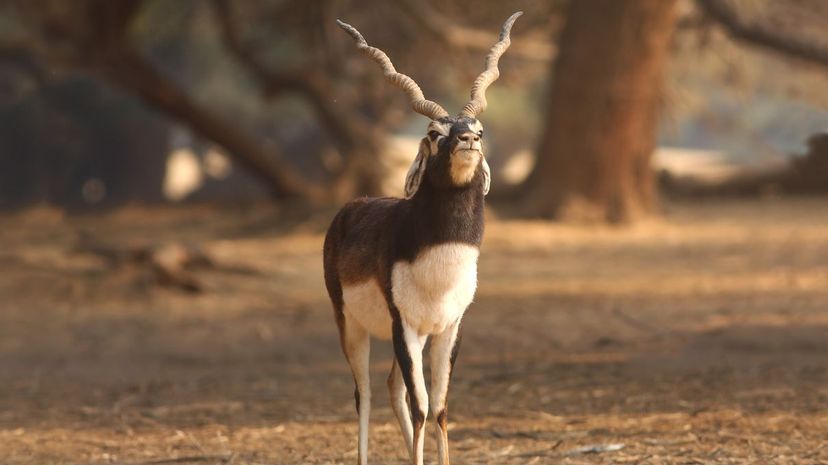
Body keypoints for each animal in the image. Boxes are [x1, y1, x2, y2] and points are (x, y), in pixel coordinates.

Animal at [322, 11, 520, 464]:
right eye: (433, 133)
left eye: (479, 129)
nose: (467, 140)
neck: (439, 266)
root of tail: (352, 206)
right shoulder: (404, 326)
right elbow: (421, 406)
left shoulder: (449, 326)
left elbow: (441, 407)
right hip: (350, 324)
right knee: (365, 394)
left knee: (393, 388)